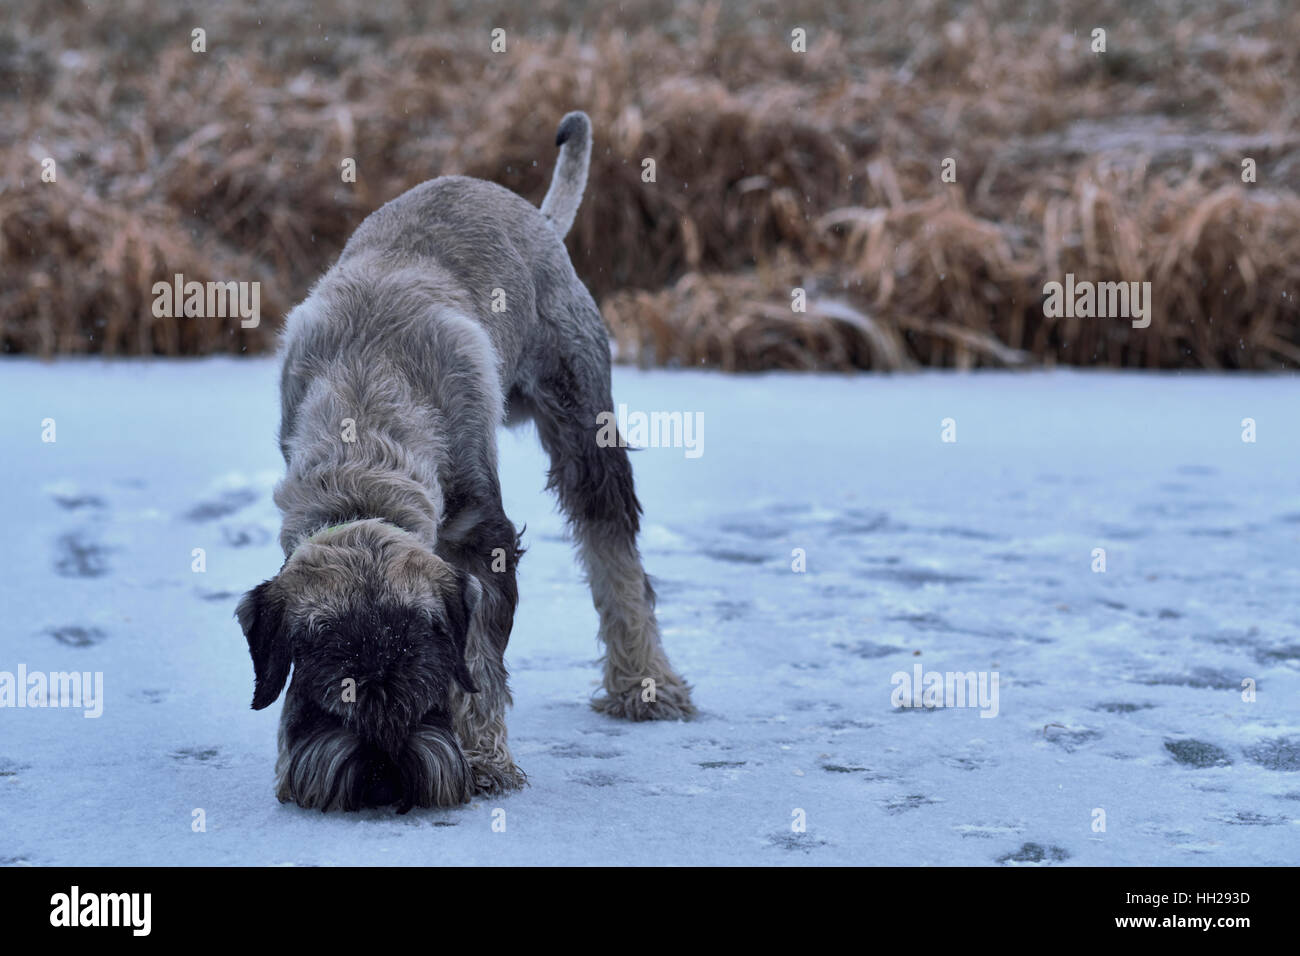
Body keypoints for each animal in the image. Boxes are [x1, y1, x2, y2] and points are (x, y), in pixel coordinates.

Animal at [237, 113, 696, 816]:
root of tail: (531, 213)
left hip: (581, 419)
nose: (383, 775)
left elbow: (478, 660)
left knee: (613, 549)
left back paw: (645, 683)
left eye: (425, 689)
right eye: (329, 697)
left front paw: (483, 763)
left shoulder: (484, 539)